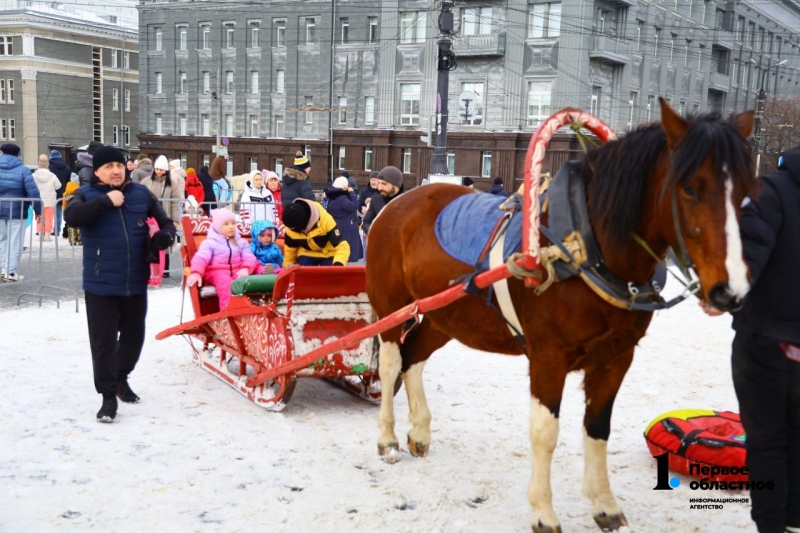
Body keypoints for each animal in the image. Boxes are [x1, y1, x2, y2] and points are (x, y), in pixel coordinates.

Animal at [362, 101, 756, 532]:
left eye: (746, 194)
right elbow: (545, 432)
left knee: (414, 358)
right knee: (391, 363)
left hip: (444, 315)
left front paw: (604, 503)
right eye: (690, 187)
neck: (584, 246)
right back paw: (386, 437)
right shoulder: (548, 357)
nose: (730, 289)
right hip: (393, 308)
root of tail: (397, 202)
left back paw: (419, 430)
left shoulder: (616, 358)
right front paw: (543, 510)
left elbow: (597, 428)